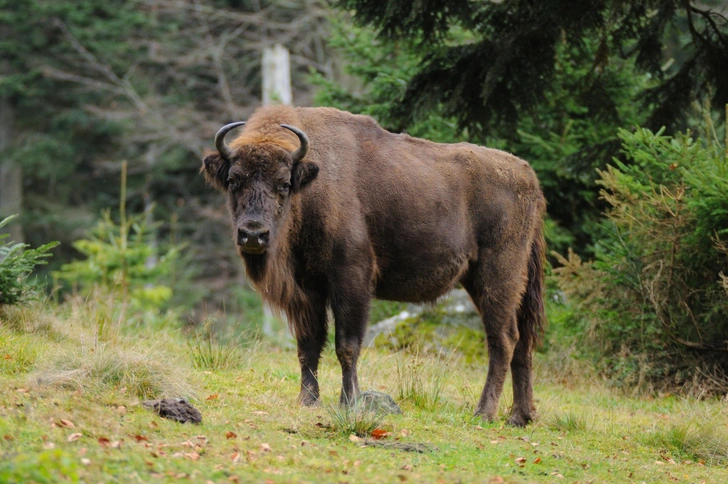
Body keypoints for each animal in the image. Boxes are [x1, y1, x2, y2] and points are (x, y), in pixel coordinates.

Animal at [202, 105, 544, 424]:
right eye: (233, 180)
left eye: (284, 184)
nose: (253, 234)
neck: (313, 185)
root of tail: (529, 178)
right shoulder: (308, 289)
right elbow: (308, 345)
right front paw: (308, 400)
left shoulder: (351, 280)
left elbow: (346, 345)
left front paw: (348, 401)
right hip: (499, 283)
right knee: (523, 342)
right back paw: (520, 416)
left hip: (497, 277)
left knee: (503, 339)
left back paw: (484, 412)